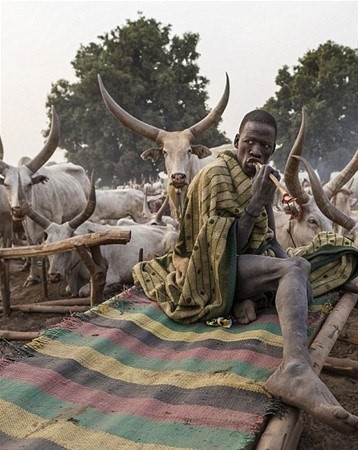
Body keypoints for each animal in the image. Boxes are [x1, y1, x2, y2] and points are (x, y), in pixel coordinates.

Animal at [0, 107, 91, 284]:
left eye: (29, 184)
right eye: (6, 185)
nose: (18, 210)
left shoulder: (55, 220)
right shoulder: (26, 226)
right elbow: (33, 246)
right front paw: (32, 276)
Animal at [18, 176, 178, 298]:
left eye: (68, 247)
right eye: (48, 245)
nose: (53, 275)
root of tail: (167, 227)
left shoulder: (109, 275)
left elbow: (83, 291)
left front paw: (114, 287)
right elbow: (69, 290)